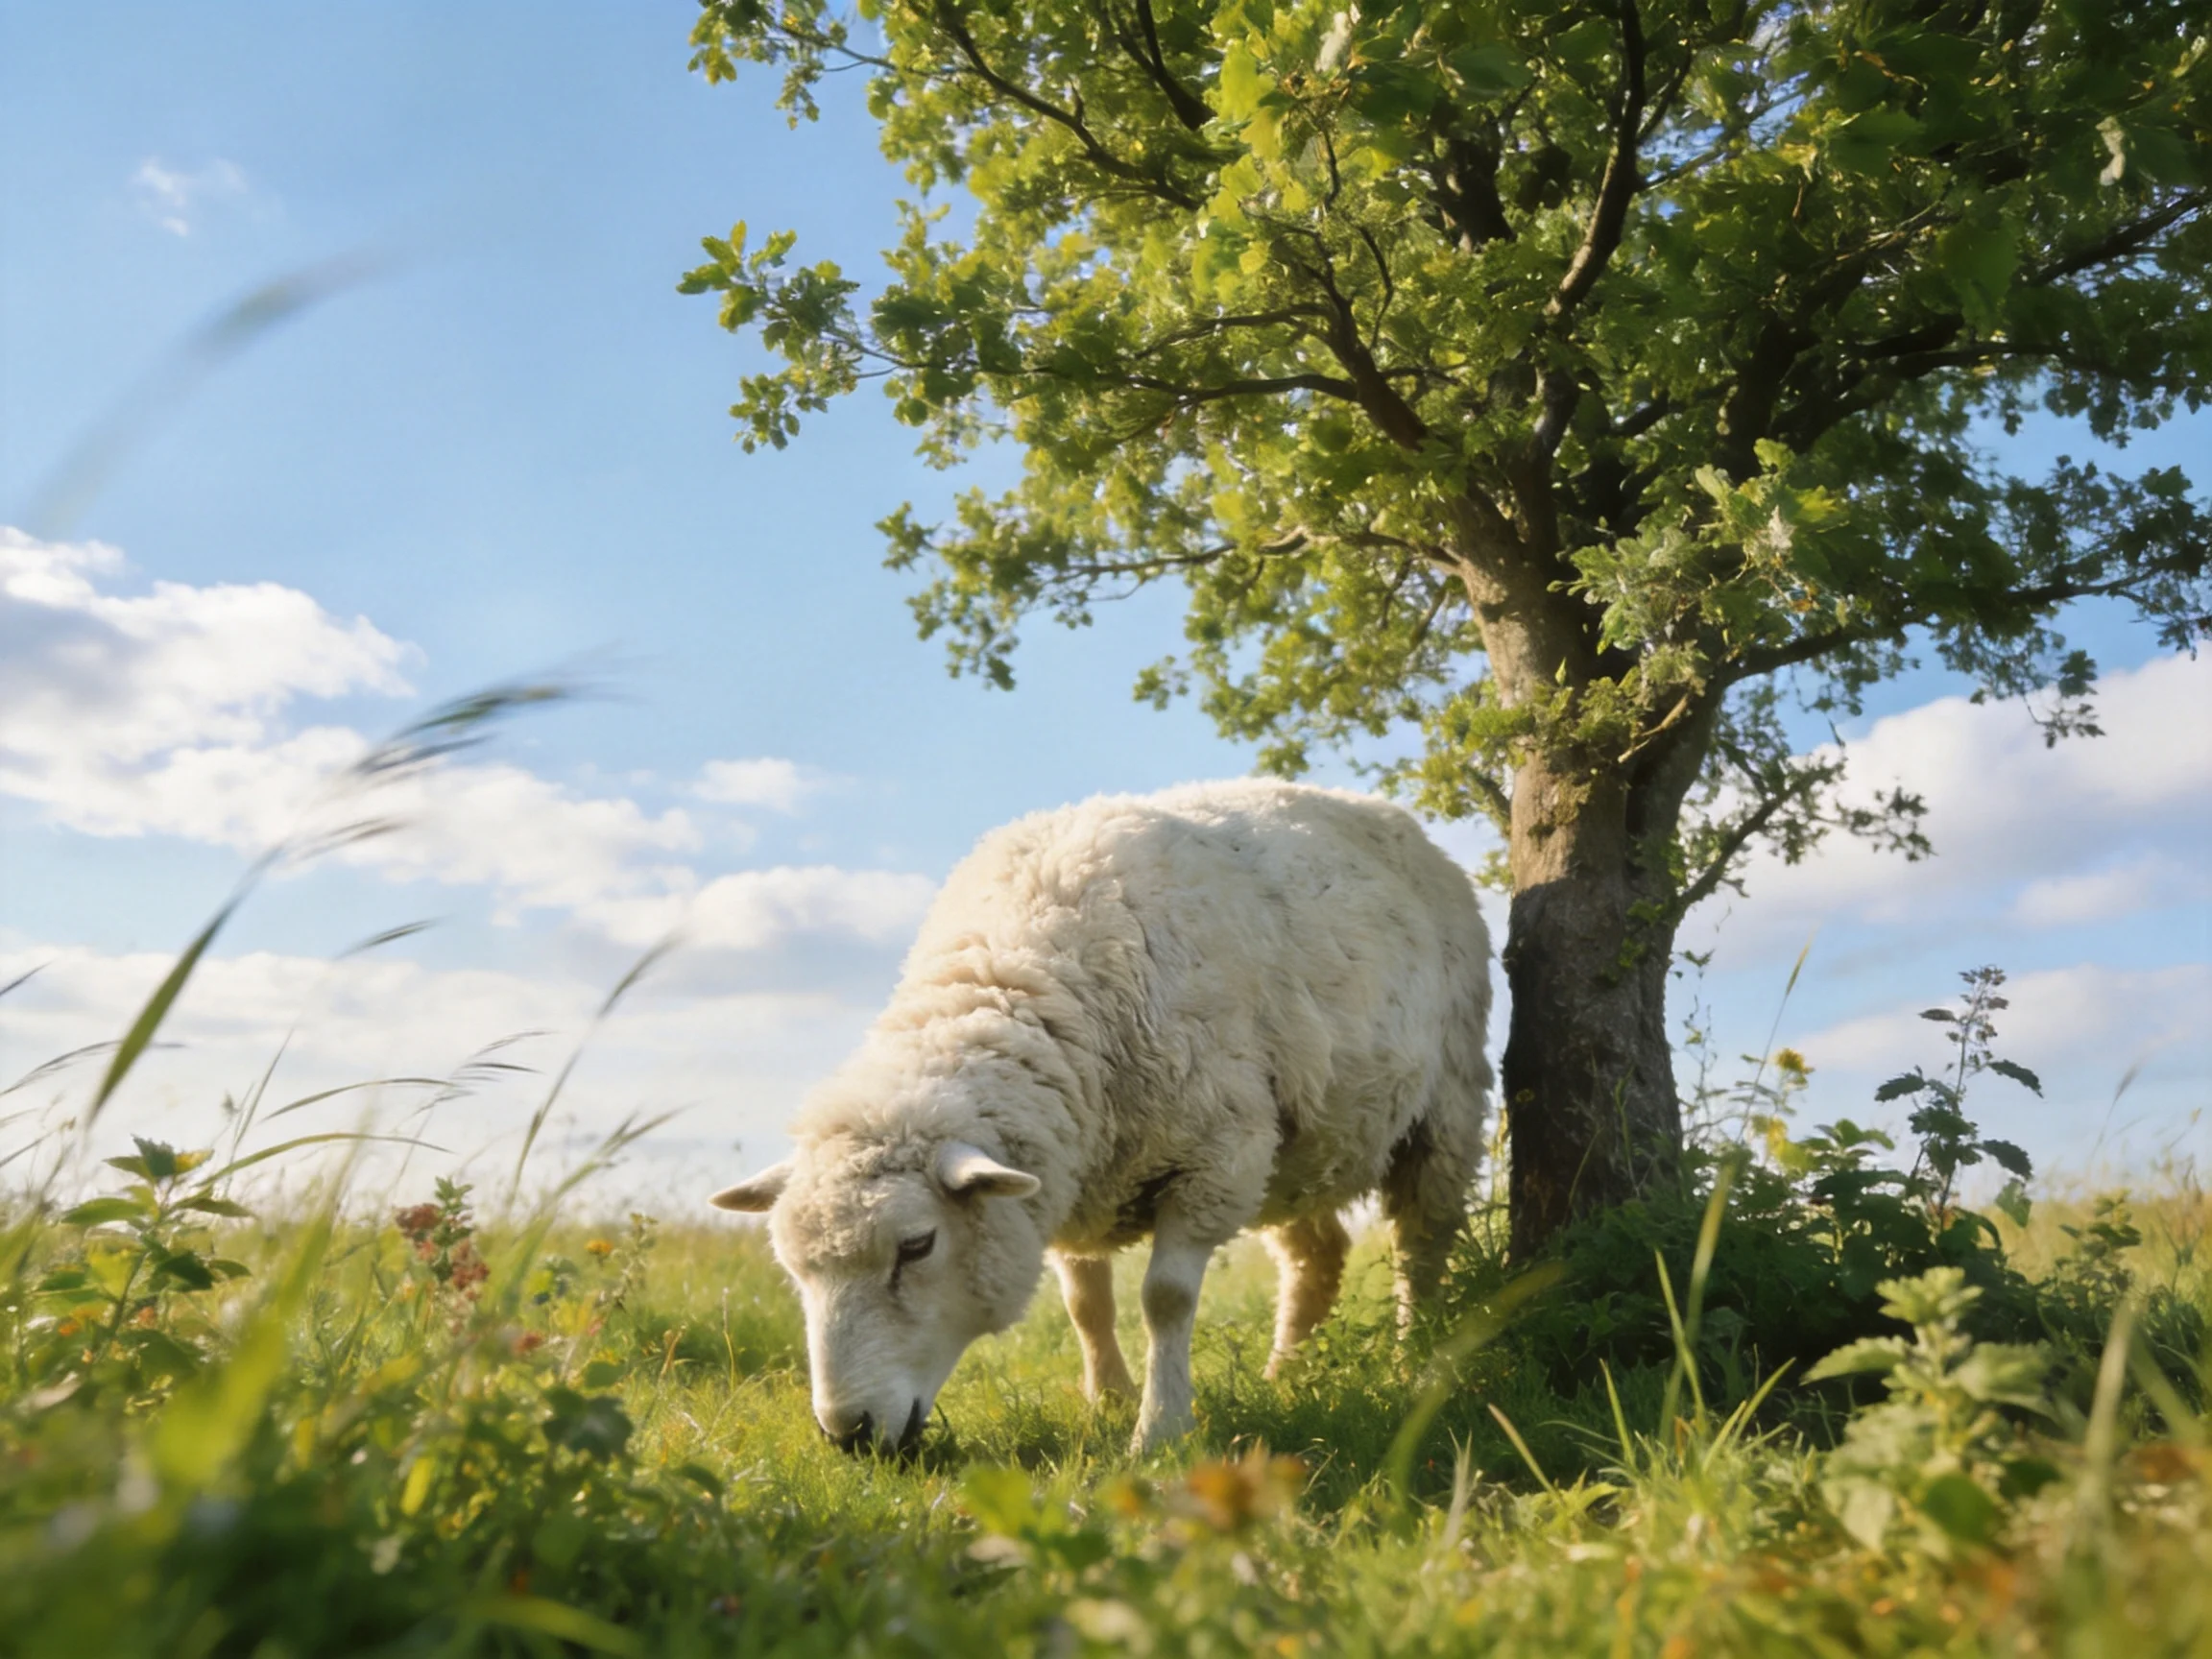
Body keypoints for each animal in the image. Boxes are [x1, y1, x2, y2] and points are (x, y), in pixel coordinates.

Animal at [710, 779, 1492, 1454]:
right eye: (795, 1269)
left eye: (917, 1246)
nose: (848, 1433)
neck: (1021, 977)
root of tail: (1378, 811)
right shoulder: (1070, 1171)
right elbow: (1086, 1303)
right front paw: (1107, 1401)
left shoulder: (1215, 1157)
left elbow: (1165, 1299)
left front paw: (1159, 1429)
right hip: (1297, 1145)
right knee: (1318, 1257)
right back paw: (1285, 1377)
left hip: (1445, 1106)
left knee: (1420, 1248)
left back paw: (1412, 1363)